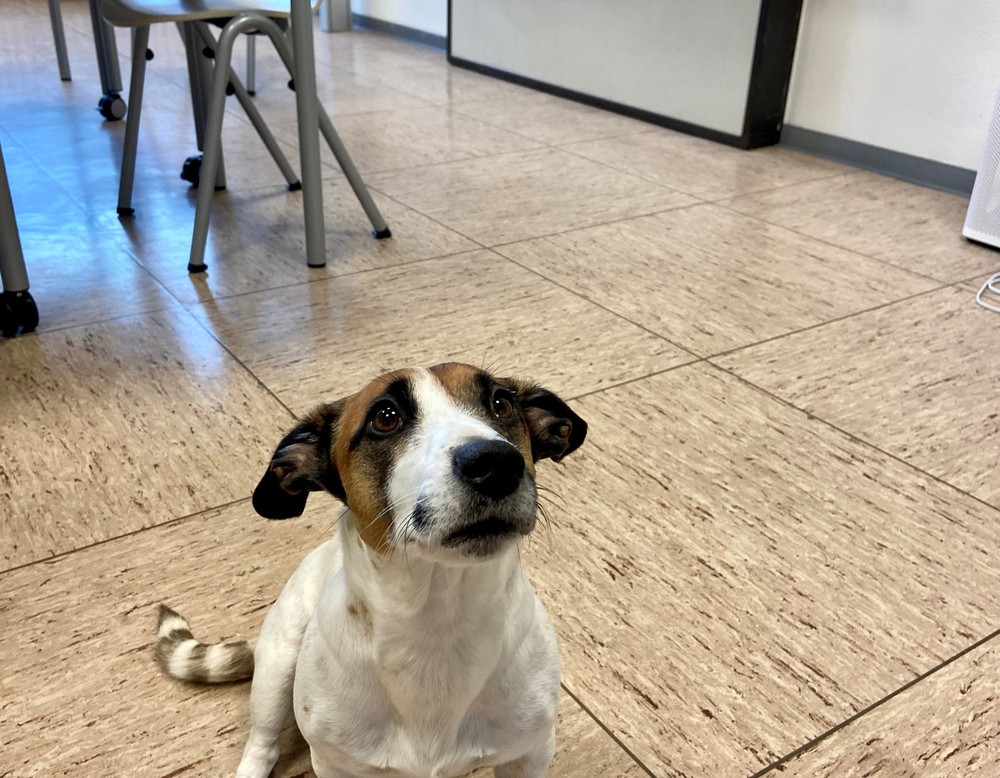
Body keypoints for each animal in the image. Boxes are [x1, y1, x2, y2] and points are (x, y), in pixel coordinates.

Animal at [155, 362, 584, 776]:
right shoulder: (335, 764)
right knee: (262, 745)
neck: (437, 621)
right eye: (385, 417)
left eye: (501, 404)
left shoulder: (529, 753)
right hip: (277, 668)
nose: (496, 462)